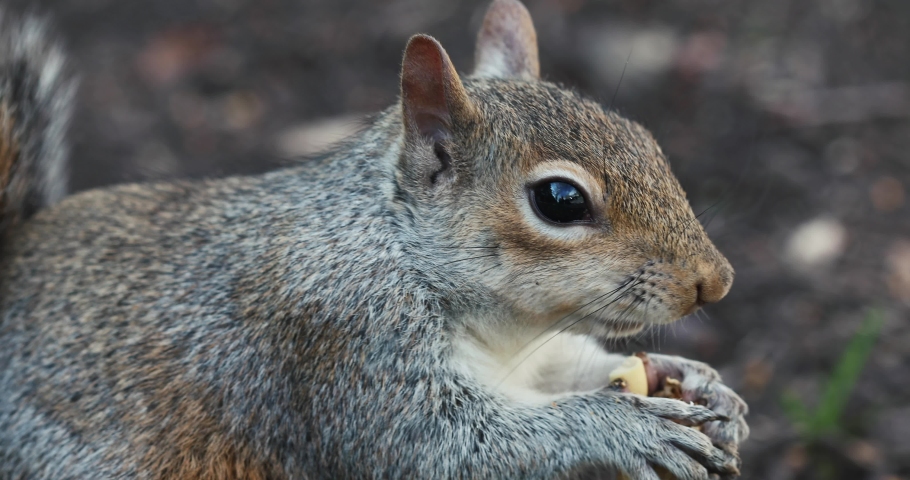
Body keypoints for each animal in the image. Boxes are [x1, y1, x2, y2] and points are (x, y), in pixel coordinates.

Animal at [0, 1, 748, 478]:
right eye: (559, 200)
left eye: (645, 138)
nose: (715, 281)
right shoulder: (344, 345)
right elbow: (443, 448)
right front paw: (623, 428)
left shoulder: (530, 359)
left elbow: (573, 367)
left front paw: (704, 387)